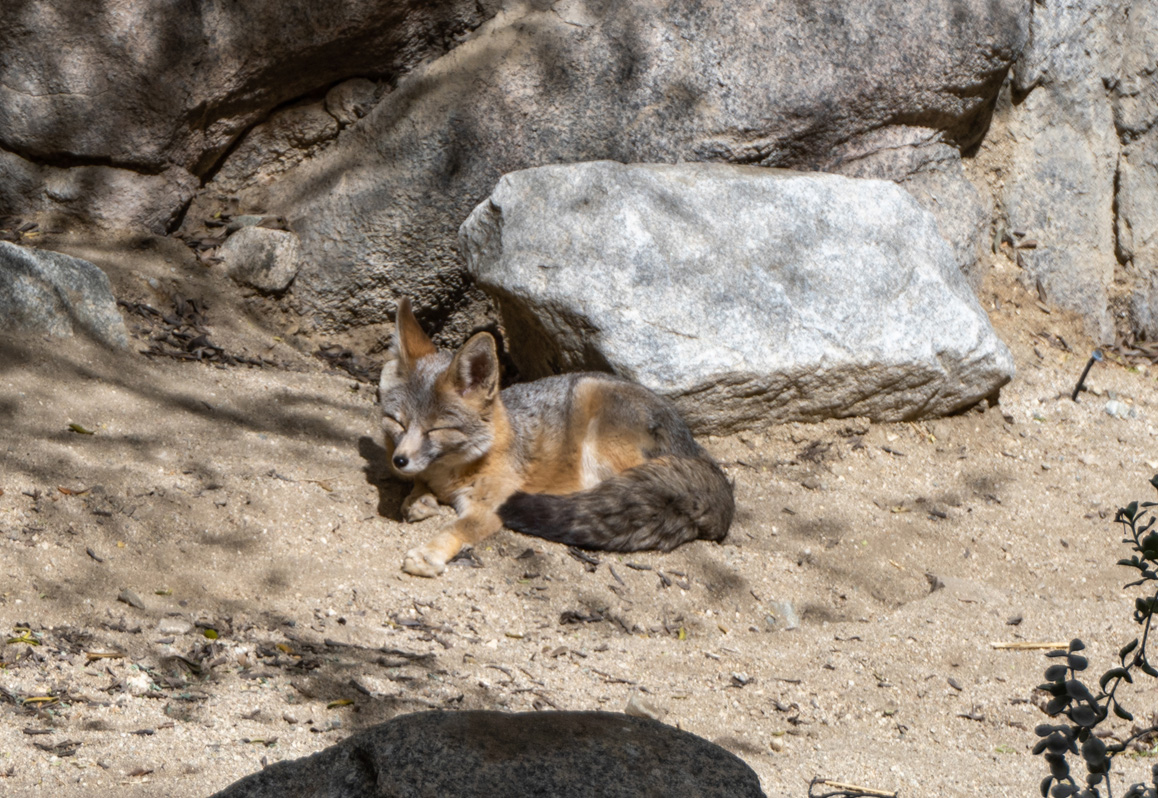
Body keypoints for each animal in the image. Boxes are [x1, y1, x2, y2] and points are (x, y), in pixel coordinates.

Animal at [378, 298, 735, 577]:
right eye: (396, 422)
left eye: (435, 429)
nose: (399, 460)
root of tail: (697, 450)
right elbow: (416, 488)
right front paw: (419, 499)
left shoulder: (487, 508)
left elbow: (456, 527)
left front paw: (429, 553)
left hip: (593, 416)